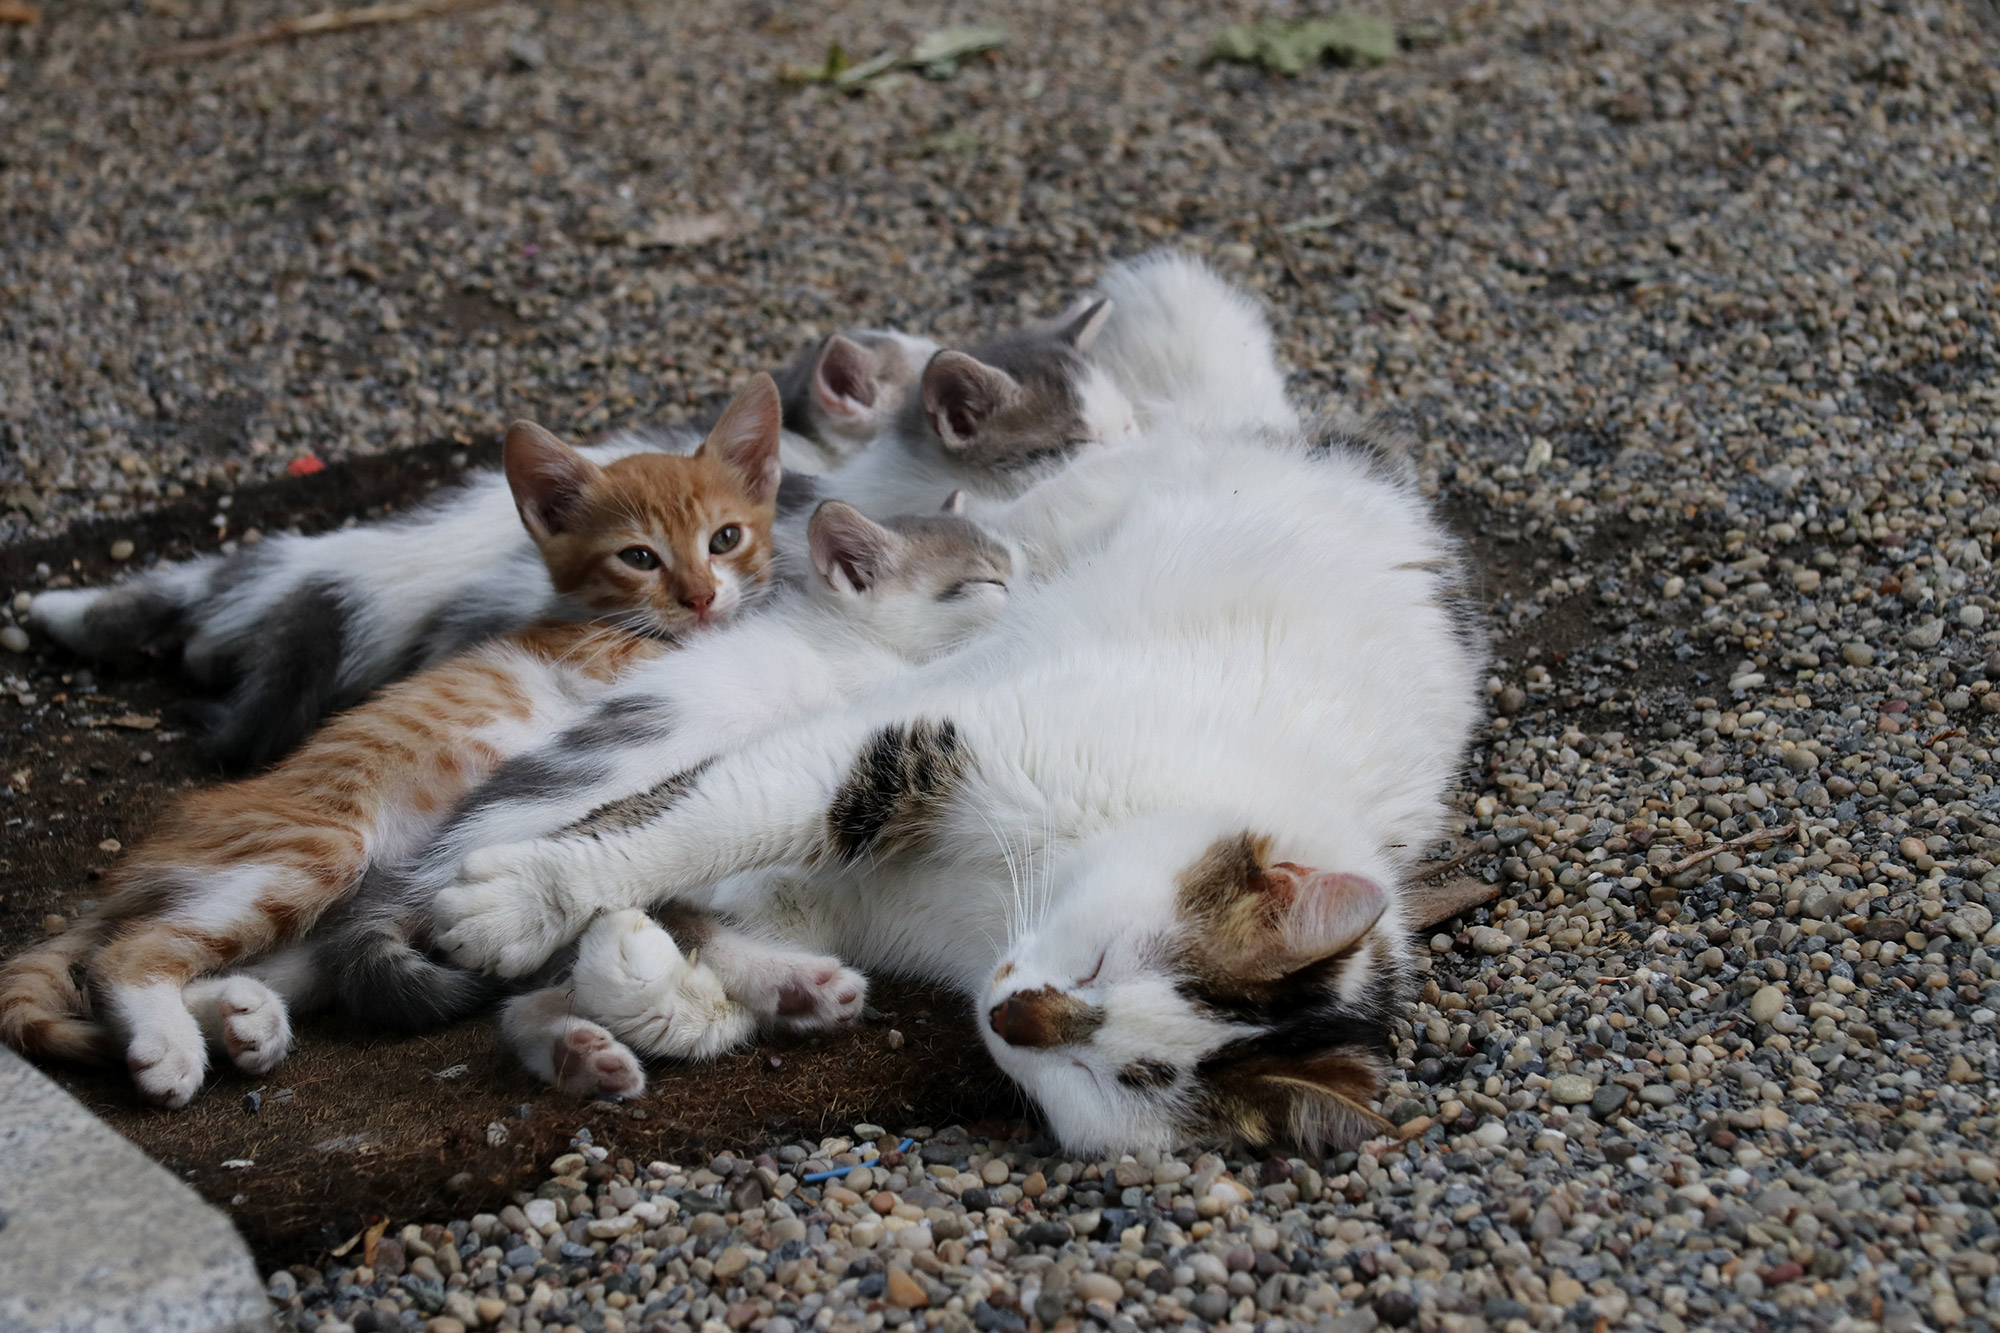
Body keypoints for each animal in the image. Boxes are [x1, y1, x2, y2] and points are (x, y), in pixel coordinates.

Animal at [0, 370, 784, 1096]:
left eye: (725, 538)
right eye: (639, 557)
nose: (701, 597)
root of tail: (144, 858)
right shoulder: (614, 665)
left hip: (328, 923)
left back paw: (241, 1018)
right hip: (315, 850)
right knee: (126, 954)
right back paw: (170, 1044)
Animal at [426, 254, 1488, 1144]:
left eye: (1118, 1078)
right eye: (1105, 961)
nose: (1016, 1014)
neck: (1017, 888)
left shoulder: (847, 897)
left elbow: (706, 907)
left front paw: (682, 988)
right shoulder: (916, 741)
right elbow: (692, 822)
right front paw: (527, 904)